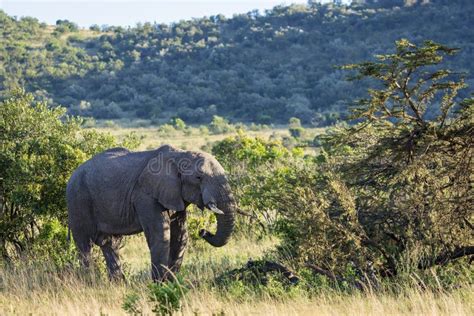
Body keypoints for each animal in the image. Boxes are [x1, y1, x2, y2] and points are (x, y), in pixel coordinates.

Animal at [65, 144, 236, 280]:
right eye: (199, 178)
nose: (203, 231)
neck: (180, 154)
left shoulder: (173, 194)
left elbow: (180, 237)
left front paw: (171, 283)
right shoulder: (145, 196)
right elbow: (161, 236)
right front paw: (159, 285)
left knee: (110, 244)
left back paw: (117, 285)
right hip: (78, 199)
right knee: (84, 244)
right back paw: (90, 282)